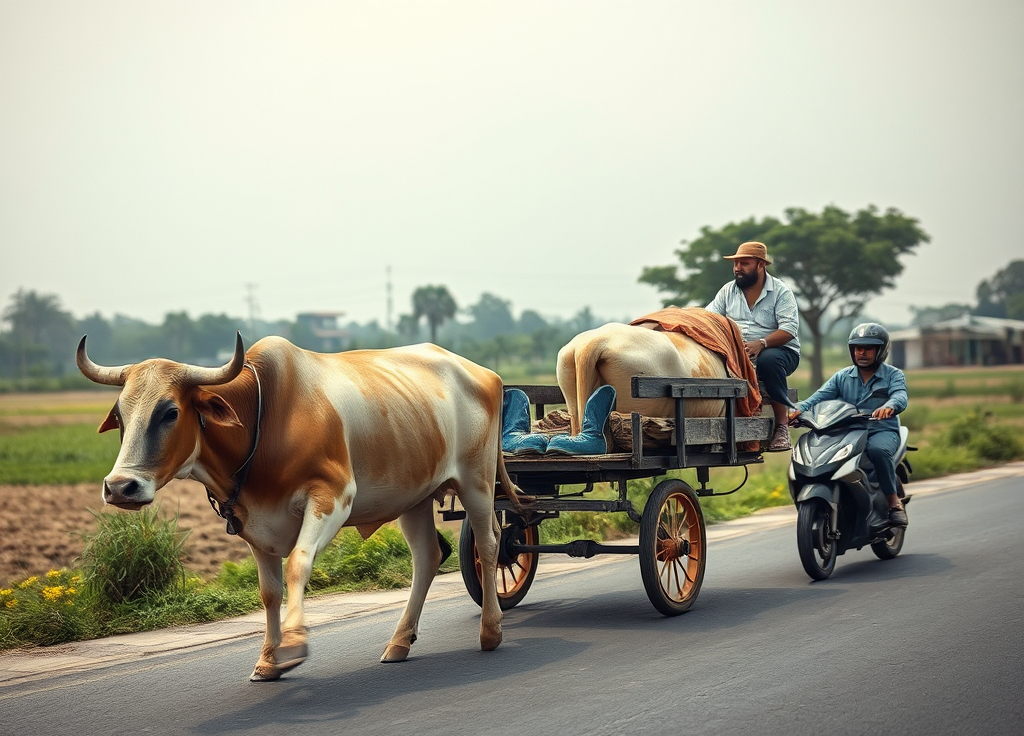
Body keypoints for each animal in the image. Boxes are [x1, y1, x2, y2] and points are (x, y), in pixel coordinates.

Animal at [78, 333, 528, 679]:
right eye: (120, 415)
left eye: (170, 412)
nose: (120, 487)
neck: (262, 419)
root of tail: (485, 374)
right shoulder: (251, 522)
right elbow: (269, 592)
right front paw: (267, 660)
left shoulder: (333, 497)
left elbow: (298, 563)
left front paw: (293, 644)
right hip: (414, 497)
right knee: (428, 556)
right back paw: (399, 642)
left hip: (476, 483)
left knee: (489, 545)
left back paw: (490, 631)